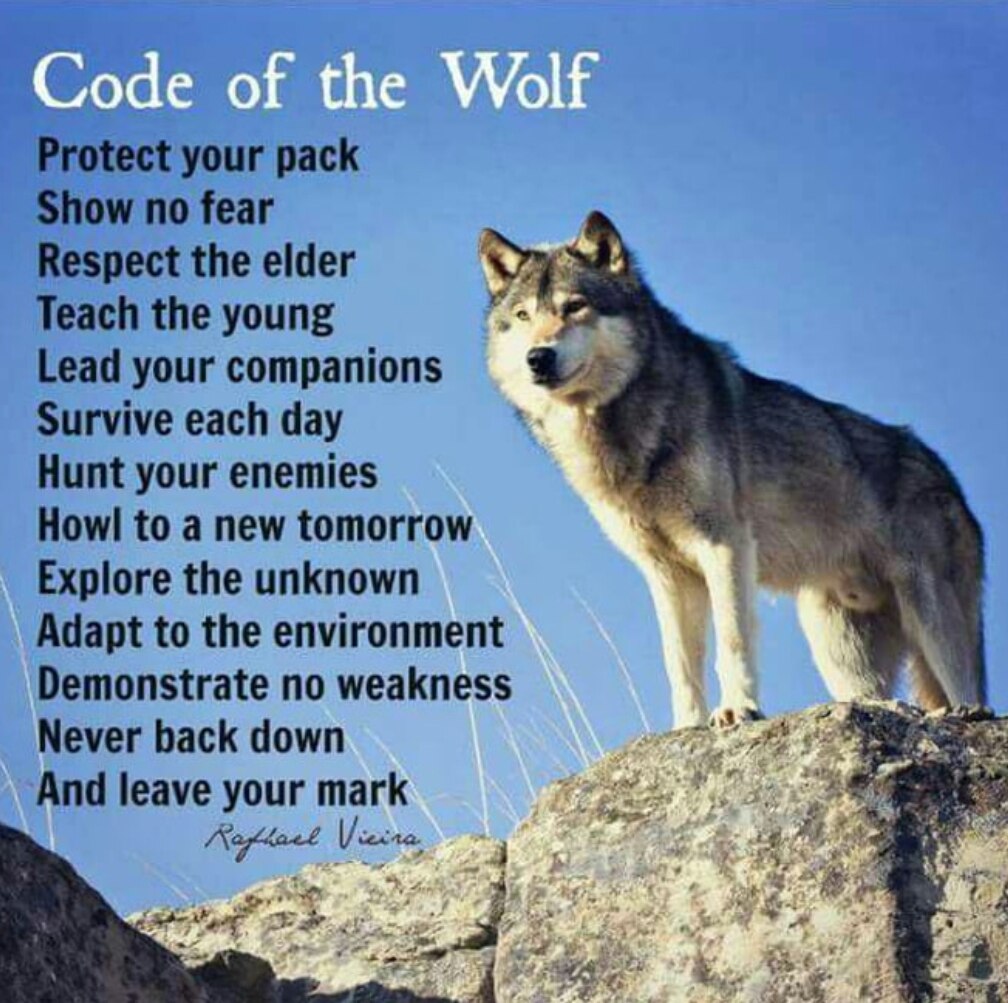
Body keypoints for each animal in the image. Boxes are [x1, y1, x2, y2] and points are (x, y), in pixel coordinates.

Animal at [479, 211, 985, 728]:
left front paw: (739, 709)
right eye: (523, 317)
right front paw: (685, 727)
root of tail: (948, 477)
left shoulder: (723, 544)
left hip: (931, 620)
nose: (538, 357)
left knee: (969, 692)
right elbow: (679, 661)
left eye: (575, 306)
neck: (630, 433)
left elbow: (732, 638)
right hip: (840, 650)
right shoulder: (666, 574)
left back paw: (966, 714)